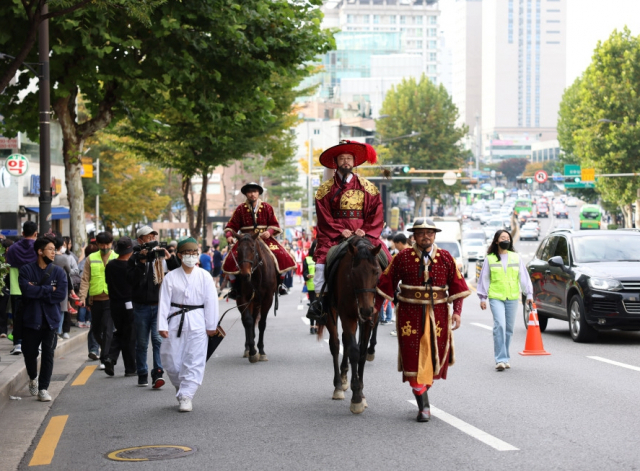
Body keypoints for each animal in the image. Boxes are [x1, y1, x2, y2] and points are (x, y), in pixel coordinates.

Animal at [231, 230, 278, 364]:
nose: (244, 275)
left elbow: (262, 324)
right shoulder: (243, 298)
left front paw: (261, 351)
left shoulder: (268, 299)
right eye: (238, 250)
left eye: (252, 249)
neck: (256, 275)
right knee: (248, 321)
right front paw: (252, 351)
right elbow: (248, 321)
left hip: (257, 303)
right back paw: (247, 348)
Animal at [318, 238, 382, 414]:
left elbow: (361, 353)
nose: (366, 309)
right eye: (353, 273)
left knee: (346, 342)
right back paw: (339, 386)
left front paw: (361, 391)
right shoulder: (347, 315)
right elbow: (353, 350)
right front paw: (357, 398)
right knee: (335, 345)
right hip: (331, 311)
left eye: (376, 272)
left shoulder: (368, 318)